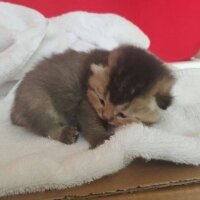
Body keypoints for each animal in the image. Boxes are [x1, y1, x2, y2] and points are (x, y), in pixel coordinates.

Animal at [10, 45, 175, 148]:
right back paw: (65, 133)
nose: (105, 117)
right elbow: (90, 122)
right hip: (36, 102)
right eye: (101, 101)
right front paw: (101, 140)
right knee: (46, 126)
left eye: (122, 114)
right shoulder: (84, 104)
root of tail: (15, 108)